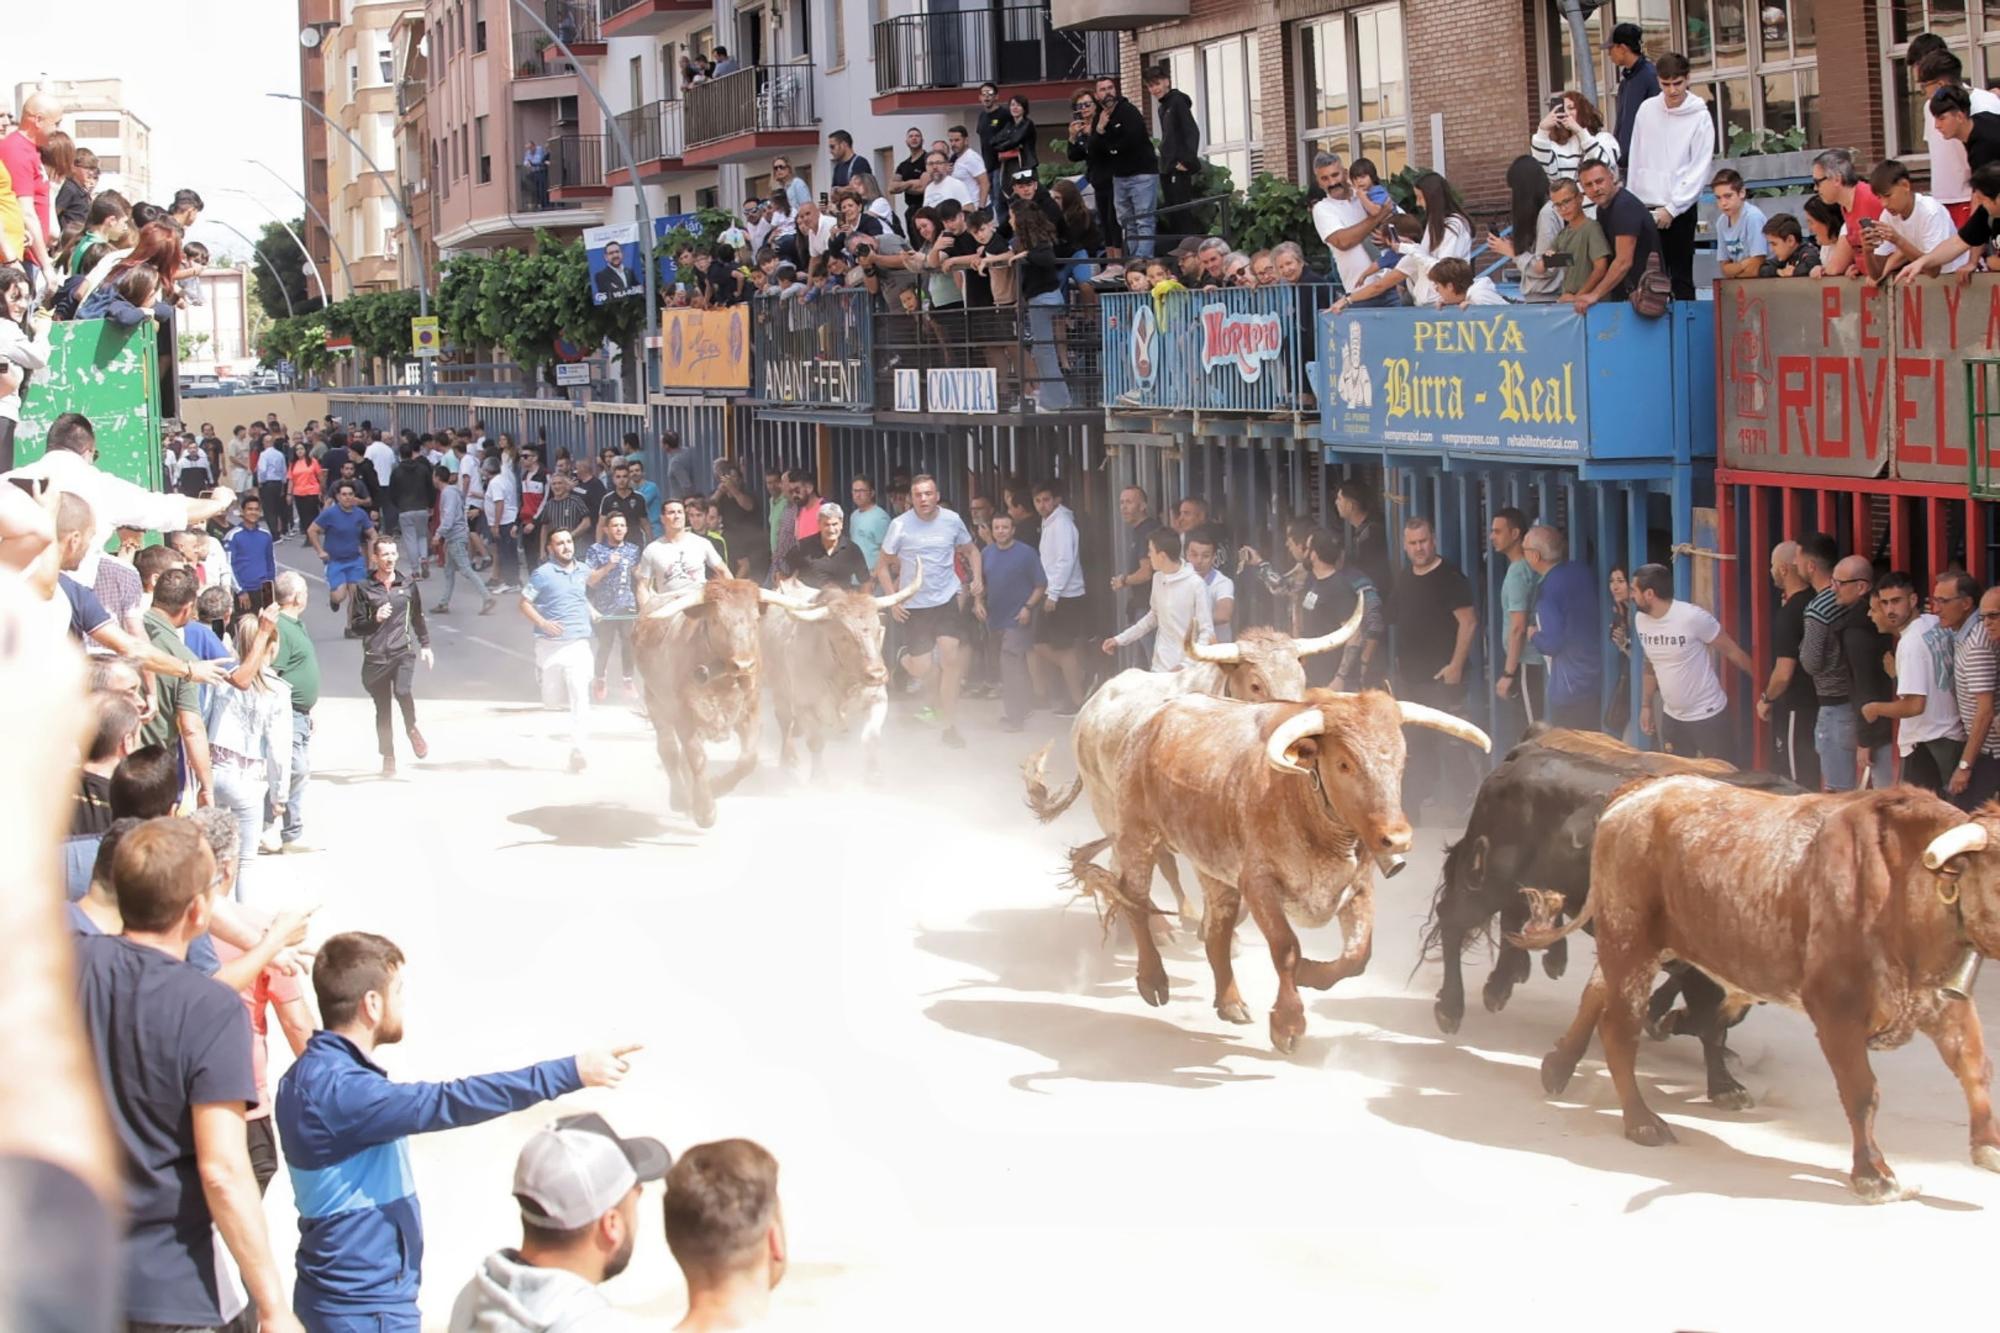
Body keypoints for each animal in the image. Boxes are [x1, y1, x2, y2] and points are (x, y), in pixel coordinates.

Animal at [1080, 684, 1488, 1048]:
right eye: (1344, 763)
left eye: (1402, 761)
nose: (1397, 839)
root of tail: (1152, 717)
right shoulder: (1259, 884)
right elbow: (1286, 948)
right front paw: (1288, 1023)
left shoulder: (1357, 888)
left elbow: (1357, 956)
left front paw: (1311, 972)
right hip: (1136, 835)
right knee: (1135, 902)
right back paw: (1153, 980)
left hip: (1213, 867)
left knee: (1217, 933)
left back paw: (1230, 1001)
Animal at [1512, 772, 2000, 1200]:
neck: (1901, 886)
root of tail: (1641, 791)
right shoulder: (1836, 1010)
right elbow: (1862, 1092)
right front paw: (1873, 1174)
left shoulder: (1943, 1003)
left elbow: (1974, 1067)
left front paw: (1989, 1147)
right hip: (1629, 940)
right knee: (1619, 1030)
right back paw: (1642, 1122)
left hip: (1643, 944)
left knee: (1597, 992)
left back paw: (1558, 1068)